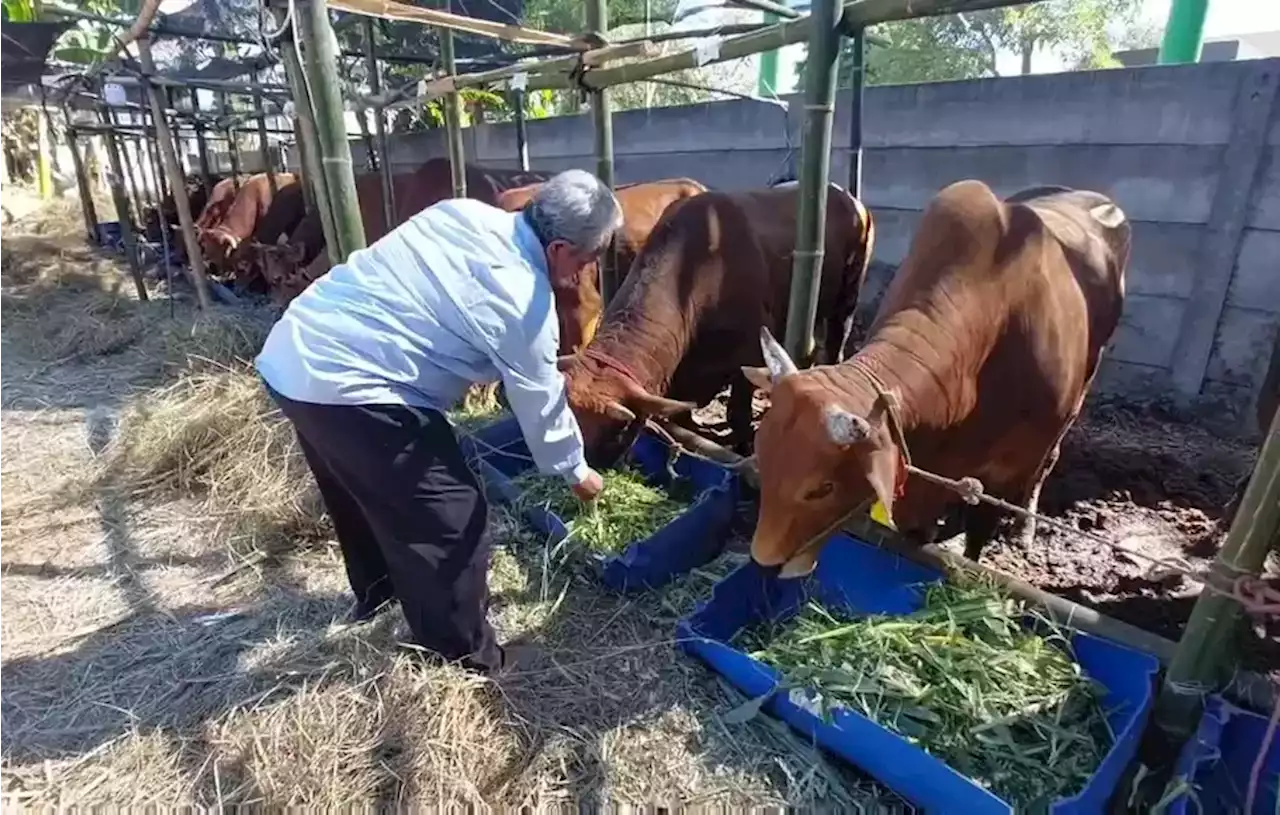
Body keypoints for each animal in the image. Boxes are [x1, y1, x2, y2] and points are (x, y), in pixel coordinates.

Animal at [742, 180, 1131, 575]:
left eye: (822, 488)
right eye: (762, 454)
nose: (764, 560)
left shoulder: (1009, 468)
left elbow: (979, 533)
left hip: (1079, 391)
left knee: (1045, 465)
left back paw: (1024, 528)